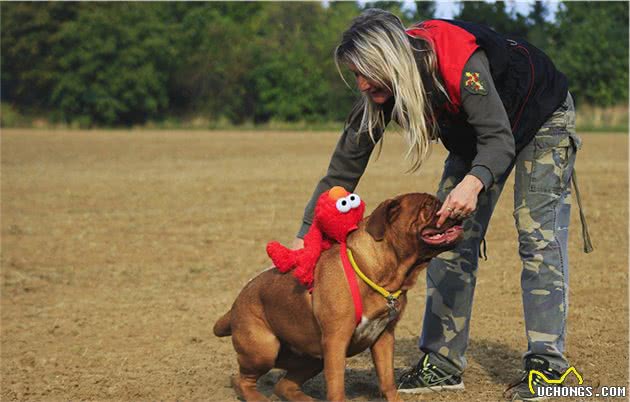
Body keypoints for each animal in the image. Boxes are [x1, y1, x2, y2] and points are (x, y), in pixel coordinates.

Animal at [215, 193, 466, 400]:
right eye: (429, 206)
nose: (451, 208)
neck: (383, 273)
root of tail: (235, 304)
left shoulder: (384, 337)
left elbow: (387, 381)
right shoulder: (336, 341)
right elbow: (337, 387)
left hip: (313, 357)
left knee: (284, 386)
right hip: (265, 349)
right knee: (241, 380)